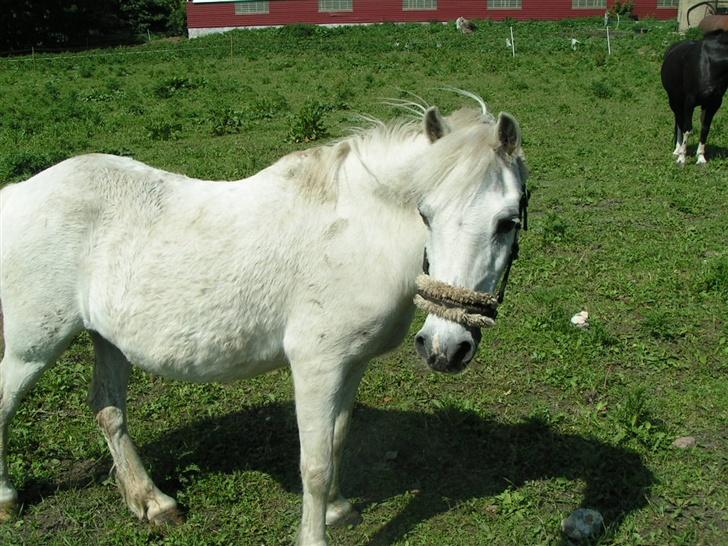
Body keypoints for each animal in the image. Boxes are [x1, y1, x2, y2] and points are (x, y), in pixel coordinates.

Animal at [0, 92, 528, 546]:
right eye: (426, 213)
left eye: (507, 222)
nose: (445, 349)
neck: (356, 234)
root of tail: (16, 193)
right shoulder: (317, 365)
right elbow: (314, 464)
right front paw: (315, 533)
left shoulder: (351, 364)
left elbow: (337, 439)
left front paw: (339, 509)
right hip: (33, 347)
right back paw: (8, 498)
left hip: (107, 339)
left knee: (109, 411)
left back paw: (153, 503)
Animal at [661, 16, 728, 165]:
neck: (709, 64)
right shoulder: (689, 101)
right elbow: (687, 128)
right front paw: (681, 158)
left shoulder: (714, 103)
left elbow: (705, 128)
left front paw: (701, 158)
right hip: (674, 100)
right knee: (679, 121)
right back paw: (677, 149)